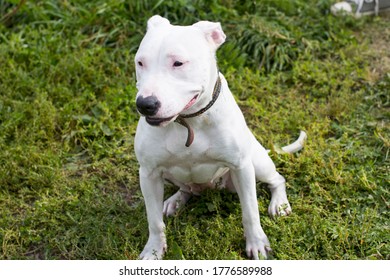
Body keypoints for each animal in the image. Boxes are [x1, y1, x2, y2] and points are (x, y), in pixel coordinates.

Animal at [136, 15, 306, 260]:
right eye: (140, 63)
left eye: (178, 63)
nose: (145, 104)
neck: (188, 122)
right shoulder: (148, 174)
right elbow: (154, 221)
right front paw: (153, 250)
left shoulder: (241, 167)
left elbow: (250, 212)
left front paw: (257, 244)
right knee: (186, 189)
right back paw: (176, 200)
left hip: (257, 163)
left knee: (277, 180)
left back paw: (279, 203)